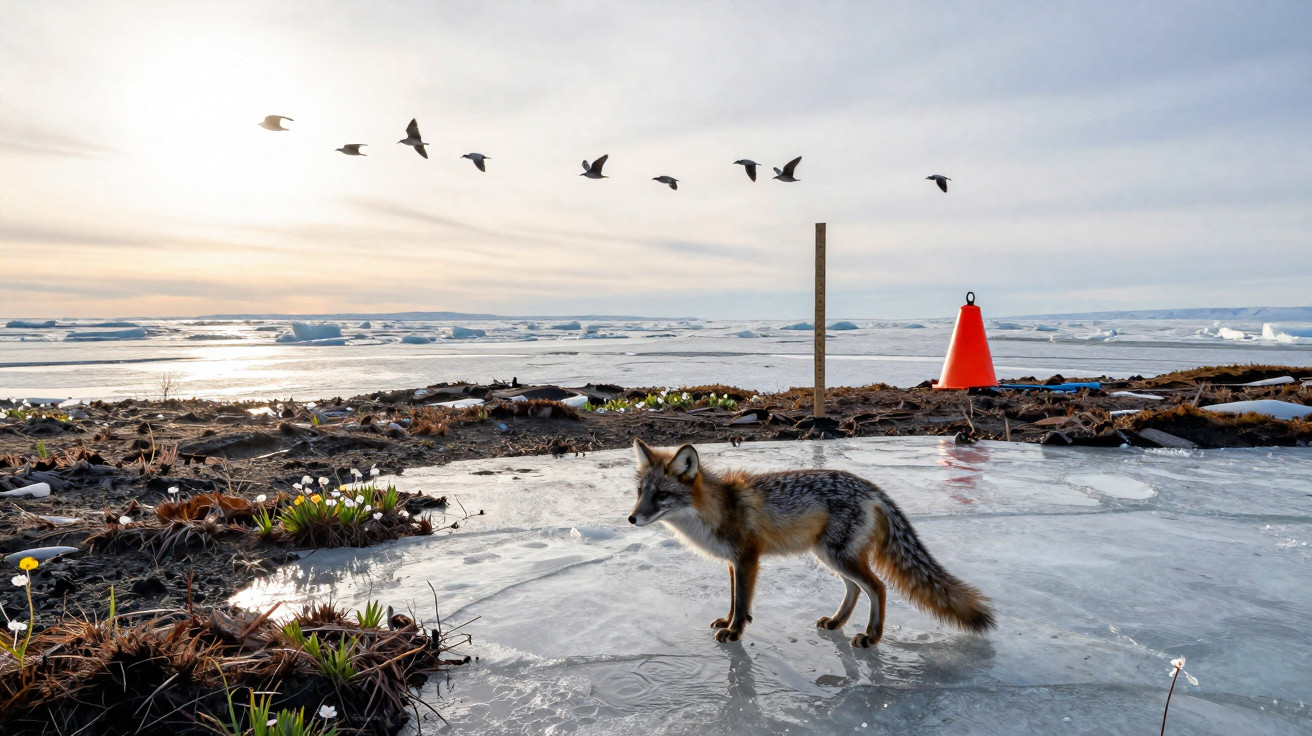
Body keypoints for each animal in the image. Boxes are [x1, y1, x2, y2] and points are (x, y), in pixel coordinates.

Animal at [628, 439, 996, 647]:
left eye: (662, 495)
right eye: (641, 492)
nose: (631, 519)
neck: (716, 509)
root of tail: (872, 487)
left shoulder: (748, 559)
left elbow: (743, 603)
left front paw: (735, 633)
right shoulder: (733, 563)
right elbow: (734, 600)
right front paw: (729, 621)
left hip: (838, 556)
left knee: (877, 587)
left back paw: (872, 636)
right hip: (829, 555)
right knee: (855, 588)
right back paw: (836, 623)